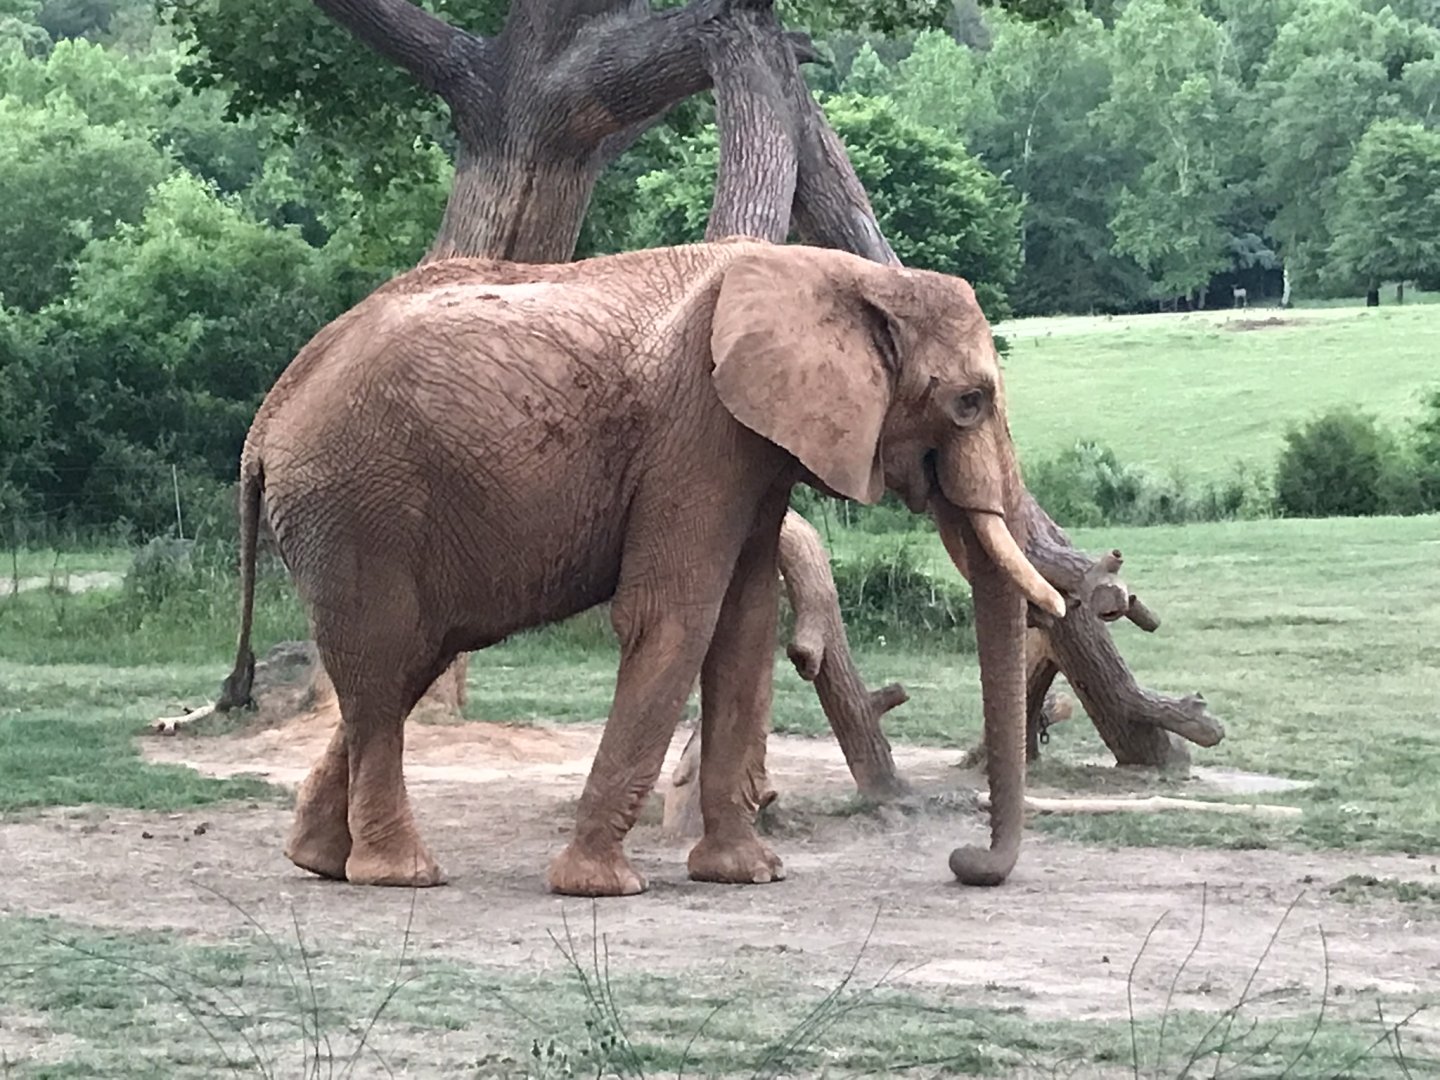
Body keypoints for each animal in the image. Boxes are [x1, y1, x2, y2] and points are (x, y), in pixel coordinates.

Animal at [217, 239, 1066, 897]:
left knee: (405, 665)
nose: (963, 861)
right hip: (359, 505)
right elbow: (676, 617)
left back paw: (319, 861)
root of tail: (266, 423)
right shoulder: (700, 430)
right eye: (969, 402)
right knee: (380, 664)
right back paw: (404, 875)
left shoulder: (753, 449)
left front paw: (748, 874)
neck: (849, 274)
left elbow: (744, 626)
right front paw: (600, 886)